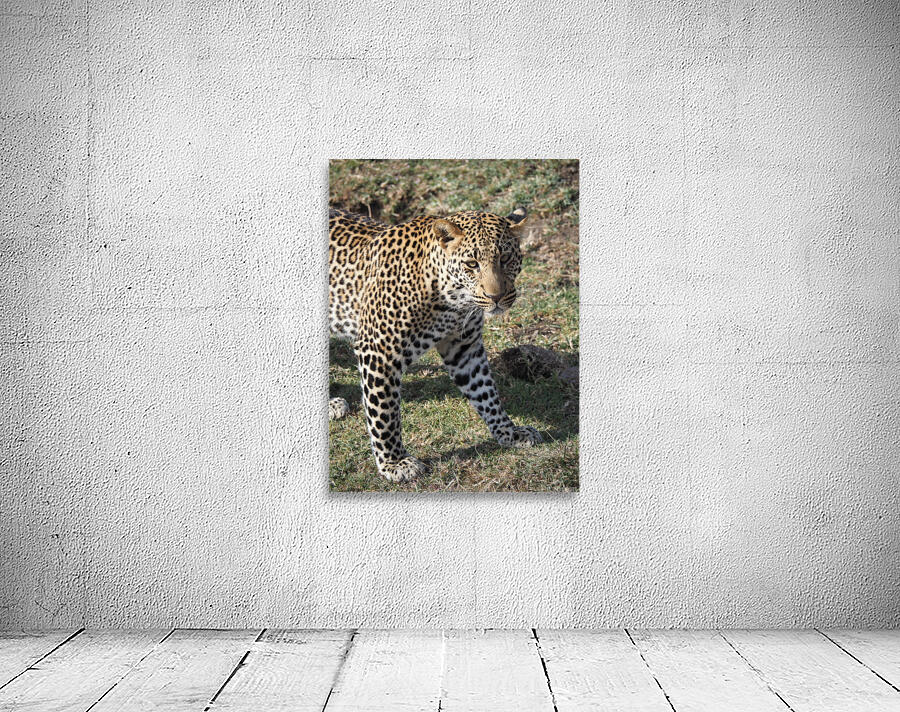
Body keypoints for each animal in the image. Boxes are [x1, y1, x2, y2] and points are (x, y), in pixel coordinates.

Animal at [328, 206, 543, 483]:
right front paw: (394, 462)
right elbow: (385, 413)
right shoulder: (379, 351)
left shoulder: (465, 349)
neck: (452, 301)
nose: (496, 297)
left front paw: (510, 433)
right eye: (471, 264)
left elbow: (486, 393)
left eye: (505, 258)